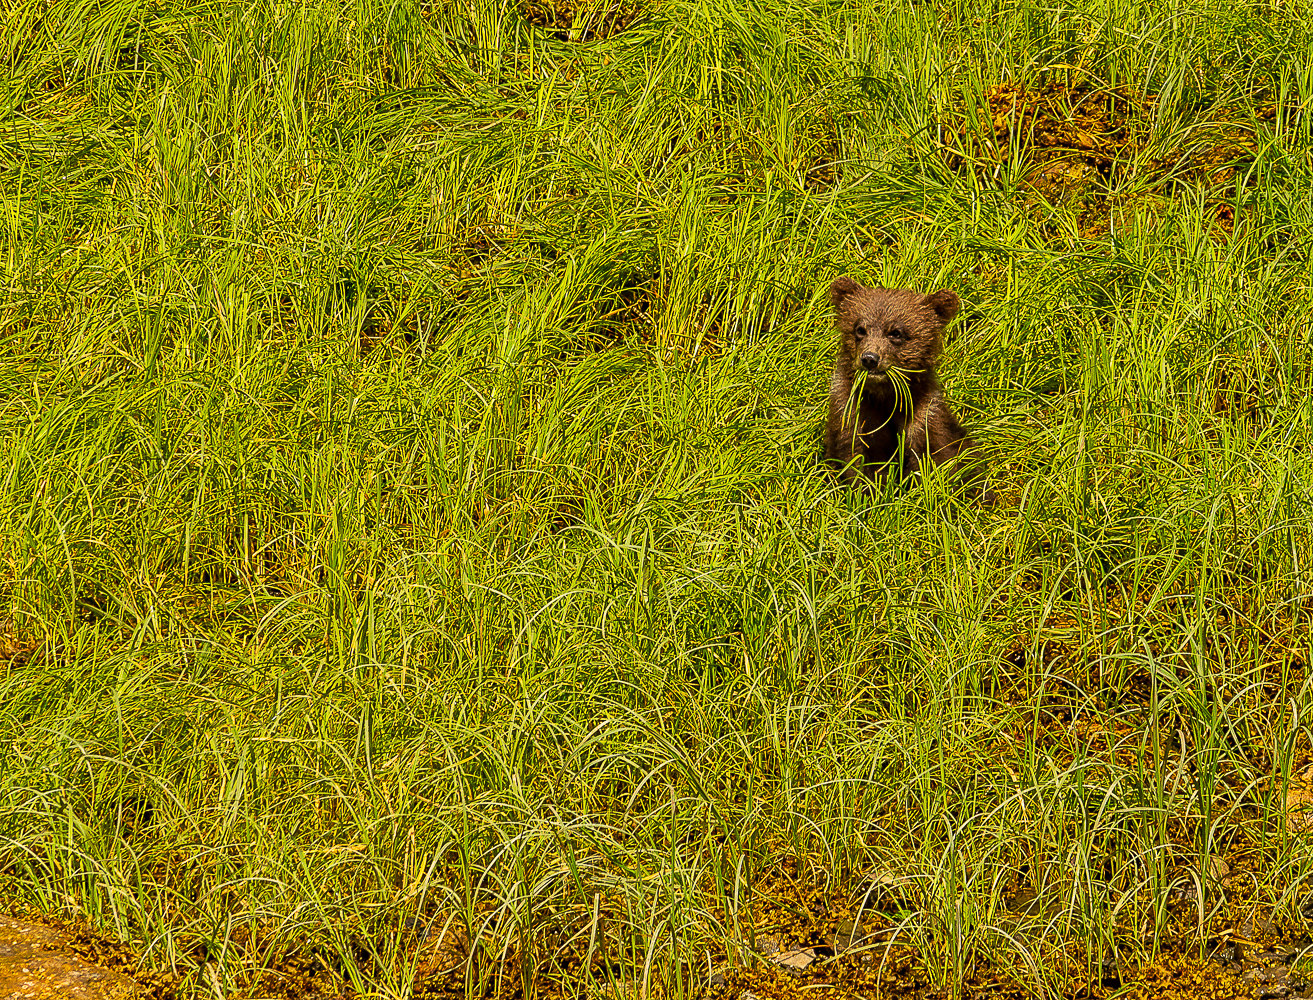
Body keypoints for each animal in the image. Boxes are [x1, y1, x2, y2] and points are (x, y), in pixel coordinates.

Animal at [824, 276, 993, 502]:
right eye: (859, 328)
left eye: (896, 332)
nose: (870, 358)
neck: (884, 398)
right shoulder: (854, 417)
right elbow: (855, 464)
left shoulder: (924, 422)